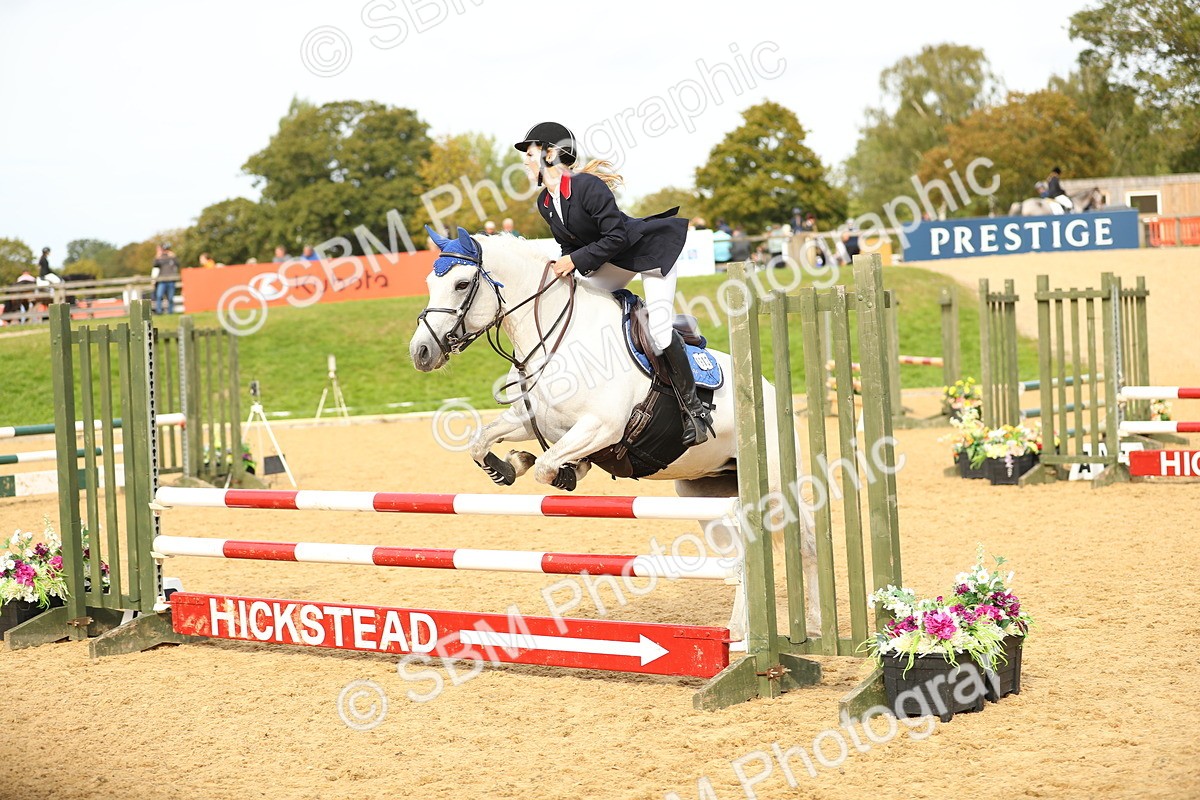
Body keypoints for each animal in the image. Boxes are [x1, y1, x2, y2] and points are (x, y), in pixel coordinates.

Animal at [408, 228, 821, 638]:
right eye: (428, 282)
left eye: (462, 284)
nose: (421, 353)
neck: (557, 339)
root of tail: (766, 389)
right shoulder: (533, 420)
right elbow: (482, 442)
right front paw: (510, 466)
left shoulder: (602, 426)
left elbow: (546, 465)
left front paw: (566, 472)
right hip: (705, 494)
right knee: (739, 556)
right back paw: (737, 634)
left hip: (776, 486)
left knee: (804, 544)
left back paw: (814, 629)